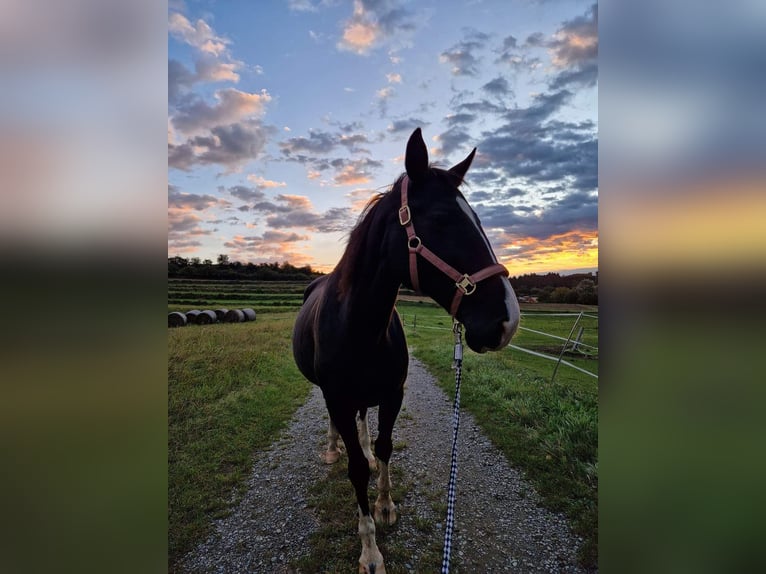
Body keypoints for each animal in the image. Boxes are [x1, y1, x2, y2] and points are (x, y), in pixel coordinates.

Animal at [294, 129, 520, 574]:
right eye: (442, 219)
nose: (507, 320)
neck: (359, 327)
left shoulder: (393, 395)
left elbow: (383, 448)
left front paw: (385, 505)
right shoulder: (338, 397)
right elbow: (356, 470)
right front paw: (369, 550)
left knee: (364, 425)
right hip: (330, 396)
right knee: (336, 426)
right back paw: (332, 448)